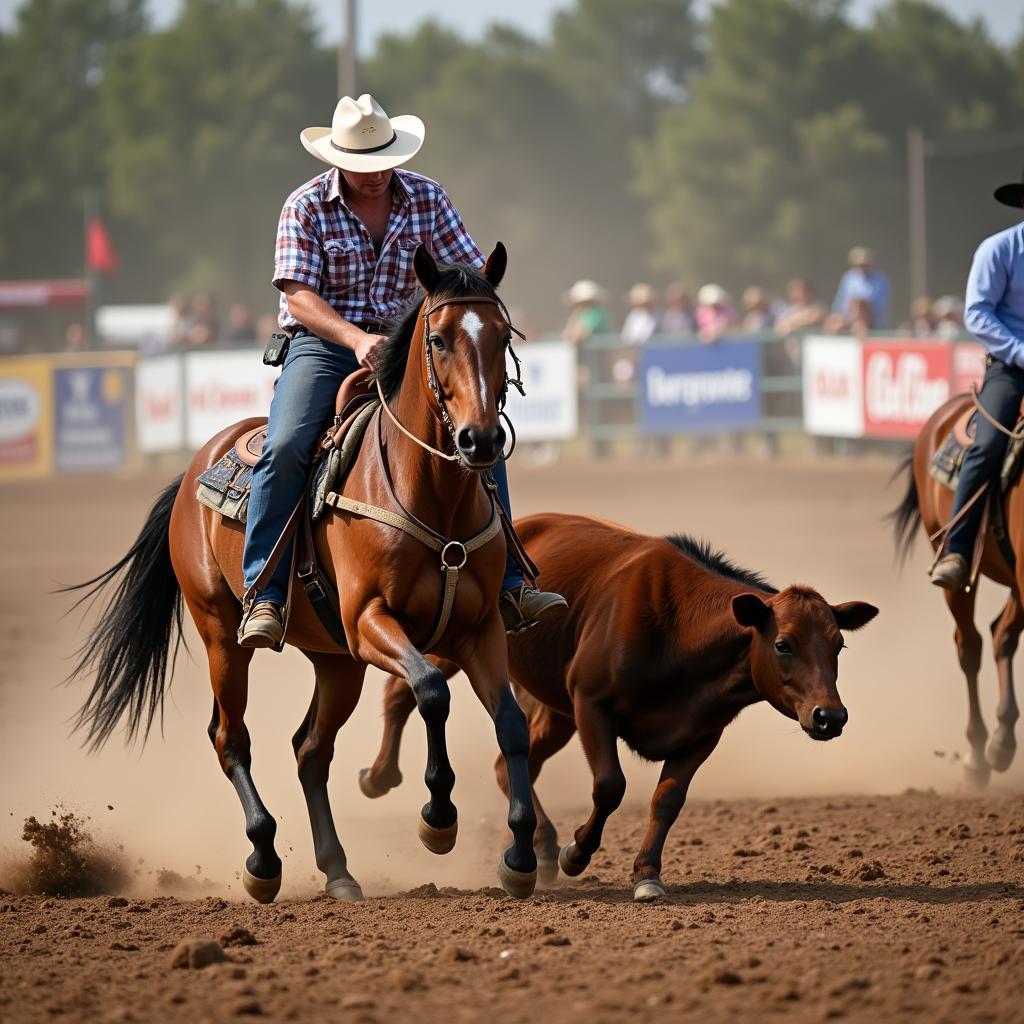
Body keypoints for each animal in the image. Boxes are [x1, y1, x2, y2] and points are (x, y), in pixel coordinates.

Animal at [67, 243, 540, 901]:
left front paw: (518, 854)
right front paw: (438, 818)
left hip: (336, 661)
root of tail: (195, 468)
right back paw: (264, 859)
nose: (480, 440)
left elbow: (512, 723)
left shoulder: (479, 629)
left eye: (501, 334)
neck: (429, 492)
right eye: (439, 339)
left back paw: (338, 870)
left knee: (310, 750)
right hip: (223, 634)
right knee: (230, 737)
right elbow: (430, 690)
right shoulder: (369, 621)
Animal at [356, 516, 876, 901]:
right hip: (461, 643)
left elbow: (667, 800)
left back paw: (538, 846)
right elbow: (610, 786)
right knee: (401, 693)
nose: (830, 716)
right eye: (784, 644)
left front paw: (646, 874)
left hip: (554, 712)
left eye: (839, 645)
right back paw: (379, 776)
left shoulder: (701, 733)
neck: (681, 631)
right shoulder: (591, 703)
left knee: (510, 762)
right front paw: (575, 853)